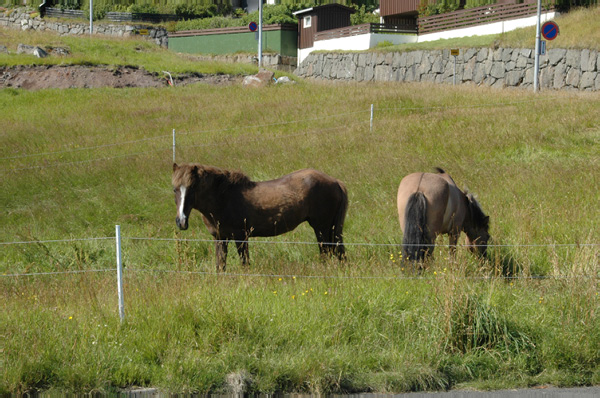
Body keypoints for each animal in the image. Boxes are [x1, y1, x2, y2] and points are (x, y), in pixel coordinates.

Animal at [171, 162, 346, 270]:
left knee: (327, 253)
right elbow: (220, 266)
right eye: (174, 189)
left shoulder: (241, 237)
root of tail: (335, 181)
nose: (181, 222)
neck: (223, 199)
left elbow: (245, 264)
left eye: (192, 188)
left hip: (321, 228)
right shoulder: (220, 238)